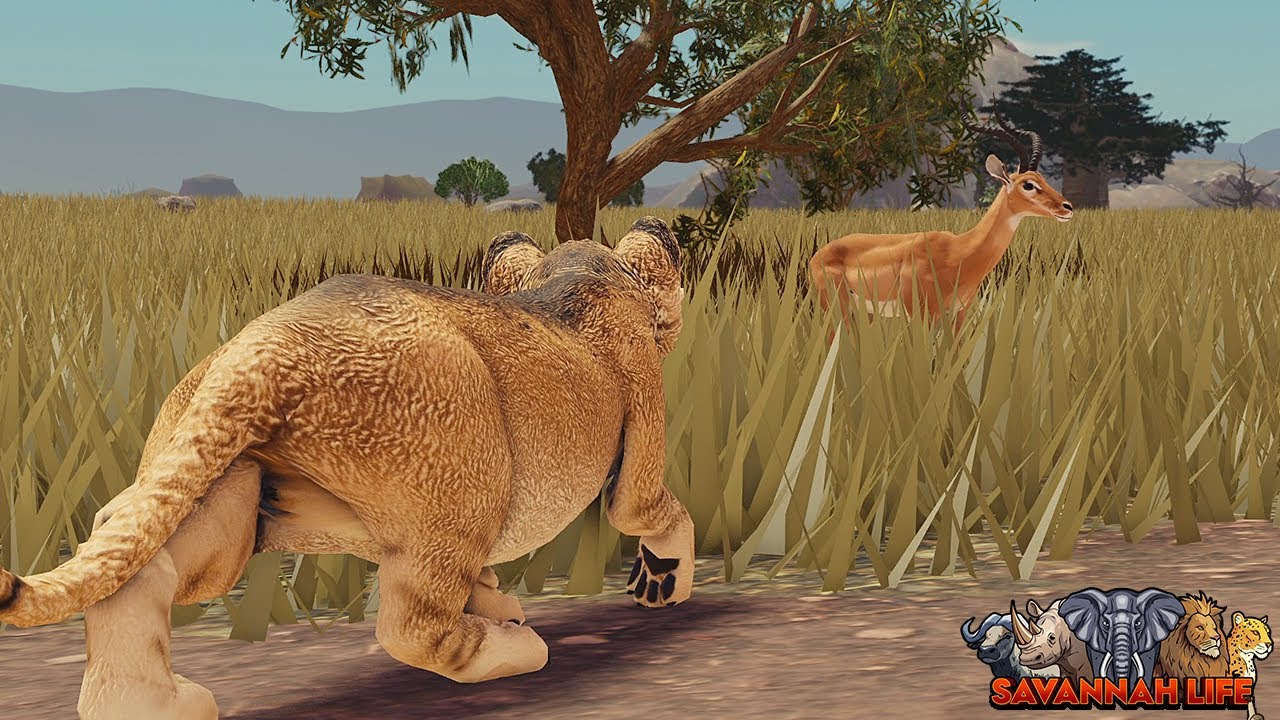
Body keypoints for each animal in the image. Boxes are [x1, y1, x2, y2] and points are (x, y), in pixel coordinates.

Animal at [0, 217, 696, 720]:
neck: (581, 270)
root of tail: (265, 351)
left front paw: (497, 599)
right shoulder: (642, 405)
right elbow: (649, 508)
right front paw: (664, 582)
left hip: (221, 486)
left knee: (138, 565)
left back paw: (149, 706)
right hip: (459, 481)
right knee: (413, 624)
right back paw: (518, 650)